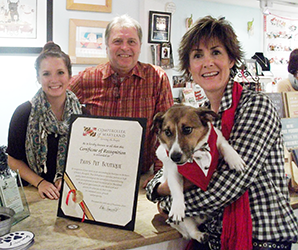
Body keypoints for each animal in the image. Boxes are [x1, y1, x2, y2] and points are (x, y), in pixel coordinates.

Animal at [152, 103, 246, 242]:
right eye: (167, 132)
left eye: (187, 129)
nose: (174, 157)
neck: (196, 154)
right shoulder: (173, 172)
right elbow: (176, 189)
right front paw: (177, 208)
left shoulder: (219, 138)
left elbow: (225, 146)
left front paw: (235, 160)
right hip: (186, 221)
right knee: (190, 230)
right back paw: (200, 235)